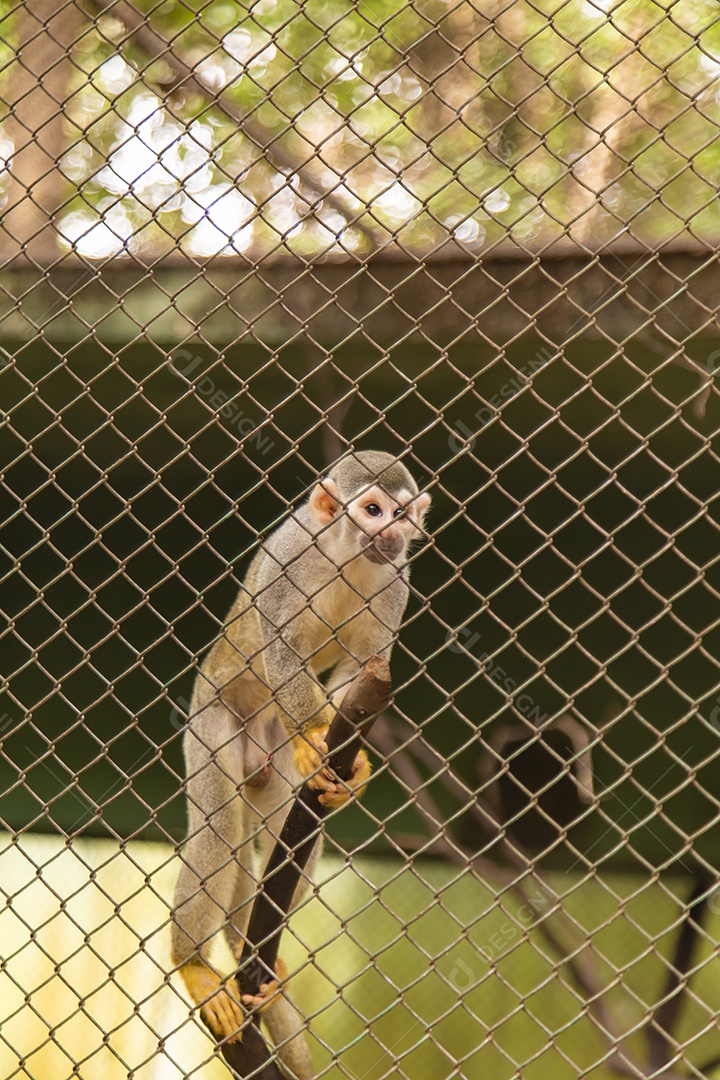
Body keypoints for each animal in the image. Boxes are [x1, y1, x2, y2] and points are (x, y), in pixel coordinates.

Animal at [171, 450, 431, 1075]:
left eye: (403, 514)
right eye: (371, 510)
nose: (391, 534)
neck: (344, 554)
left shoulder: (398, 581)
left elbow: (364, 668)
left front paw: (350, 770)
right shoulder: (290, 556)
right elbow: (282, 645)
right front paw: (314, 733)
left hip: (275, 765)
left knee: (288, 833)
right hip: (213, 721)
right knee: (221, 831)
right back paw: (194, 966)